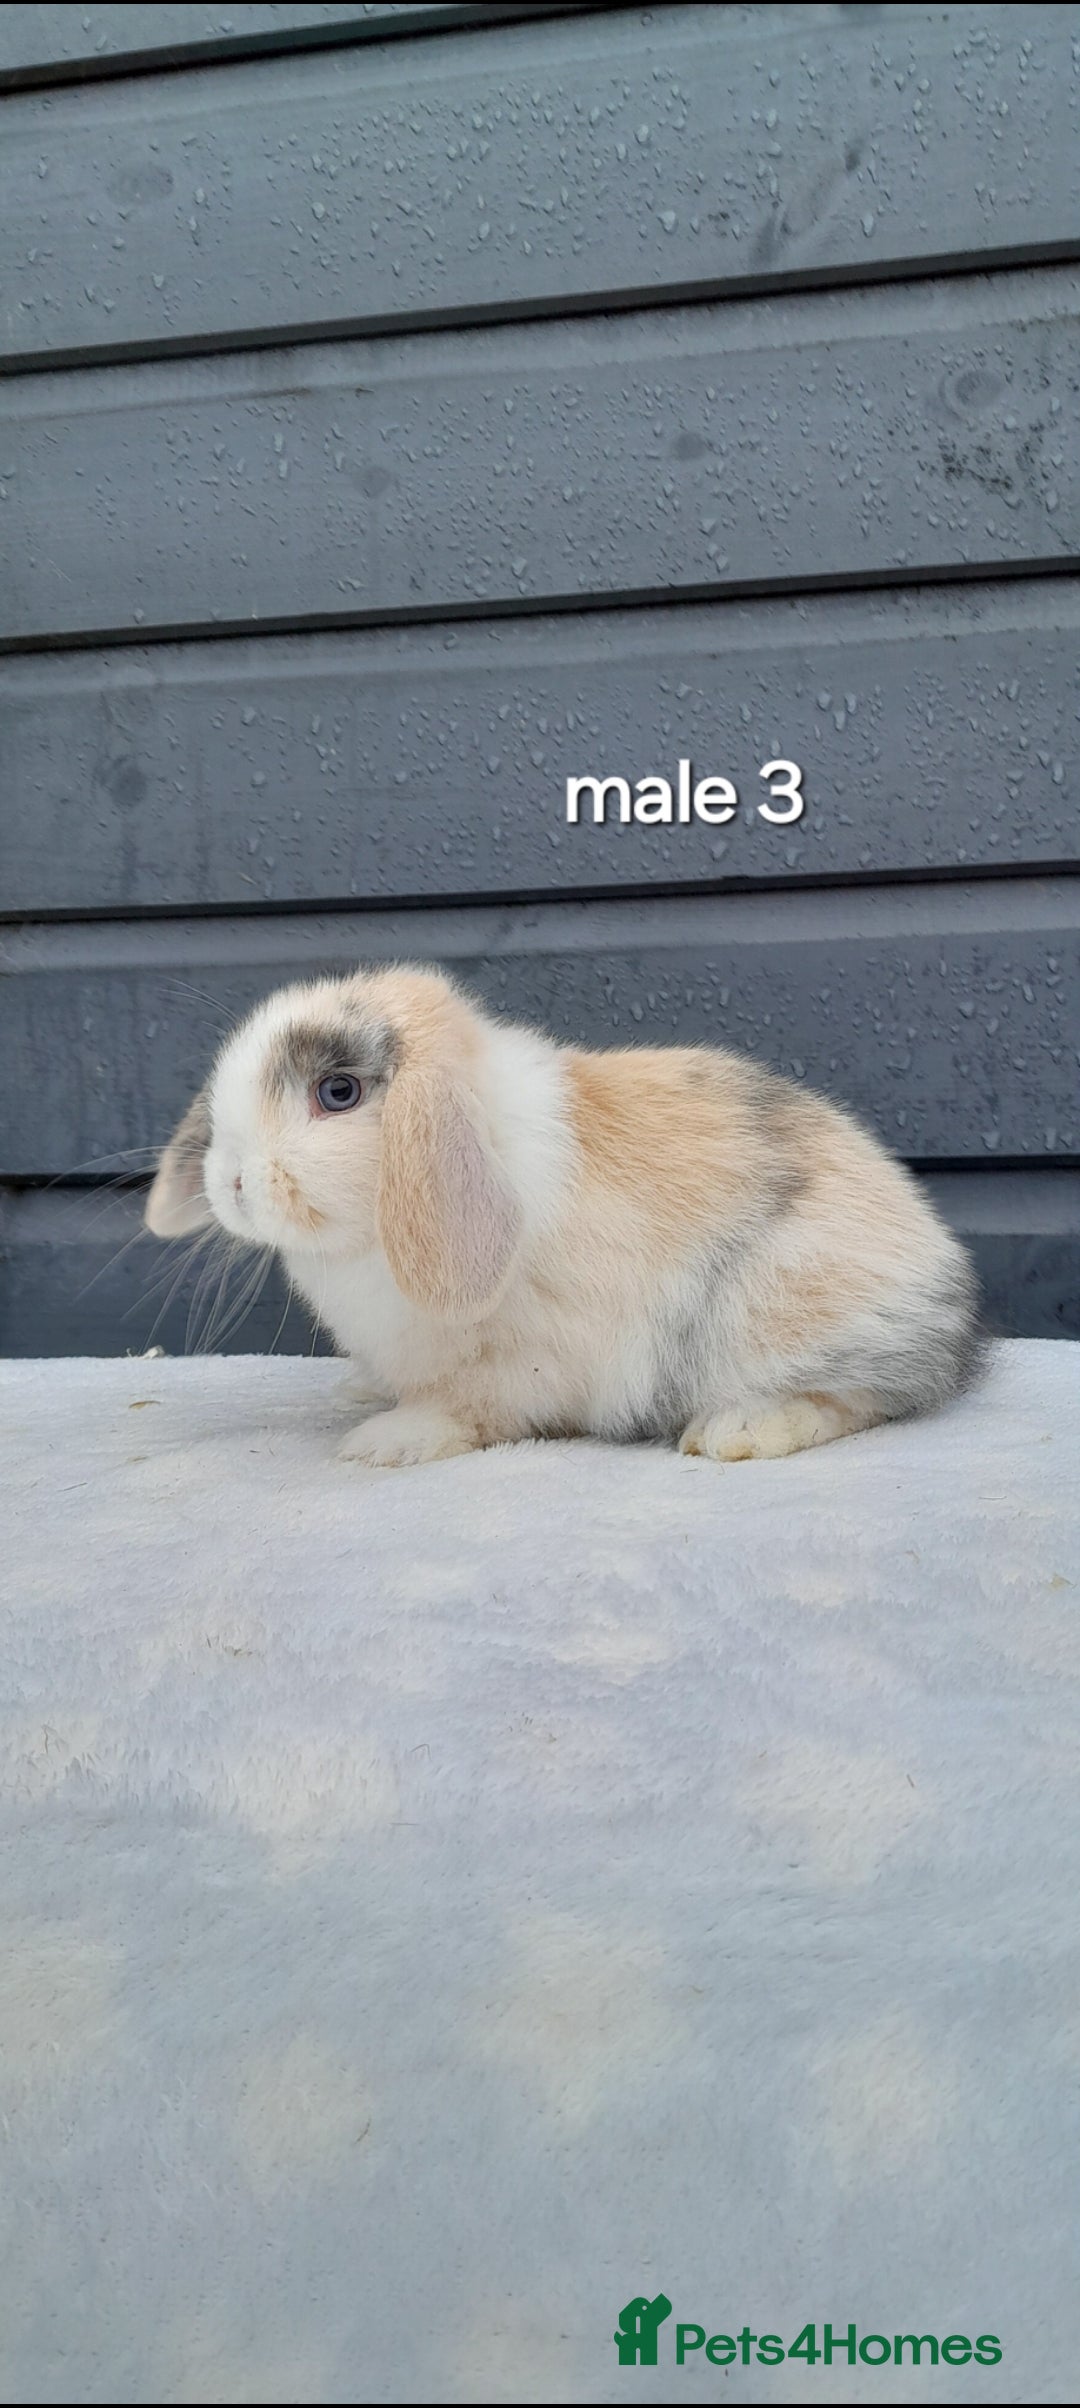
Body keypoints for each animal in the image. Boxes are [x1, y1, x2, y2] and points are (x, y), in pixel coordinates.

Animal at [145, 963, 985, 1468]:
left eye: (338, 1093)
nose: (231, 1182)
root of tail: (949, 1294)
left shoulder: (523, 1364)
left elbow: (473, 1410)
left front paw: (387, 1439)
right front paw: (362, 1392)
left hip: (773, 1309)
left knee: (867, 1398)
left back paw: (739, 1431)